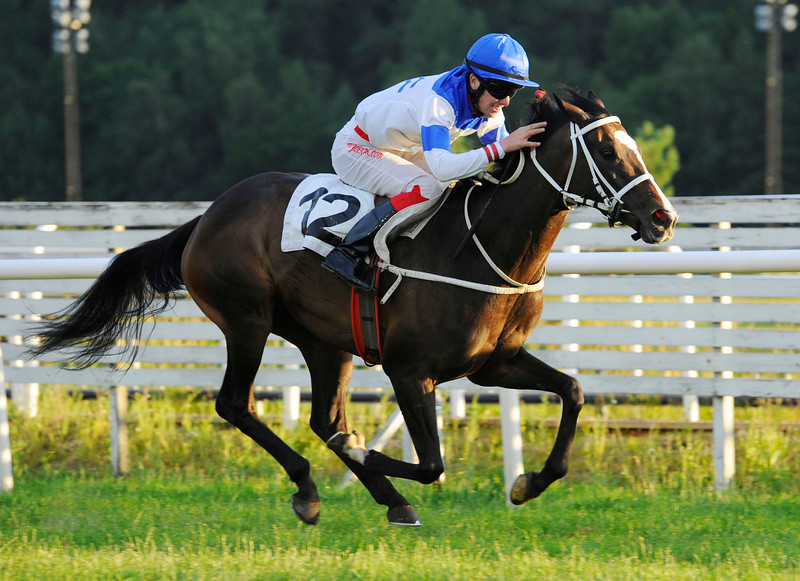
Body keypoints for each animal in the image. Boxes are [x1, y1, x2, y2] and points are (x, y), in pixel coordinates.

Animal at [29, 89, 676, 524]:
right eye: (604, 148)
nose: (662, 217)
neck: (480, 247)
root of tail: (208, 215)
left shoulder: (493, 362)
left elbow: (573, 391)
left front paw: (529, 482)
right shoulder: (411, 371)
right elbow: (430, 462)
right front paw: (368, 453)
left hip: (325, 341)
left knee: (323, 419)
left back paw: (385, 499)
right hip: (247, 321)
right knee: (237, 405)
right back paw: (312, 490)